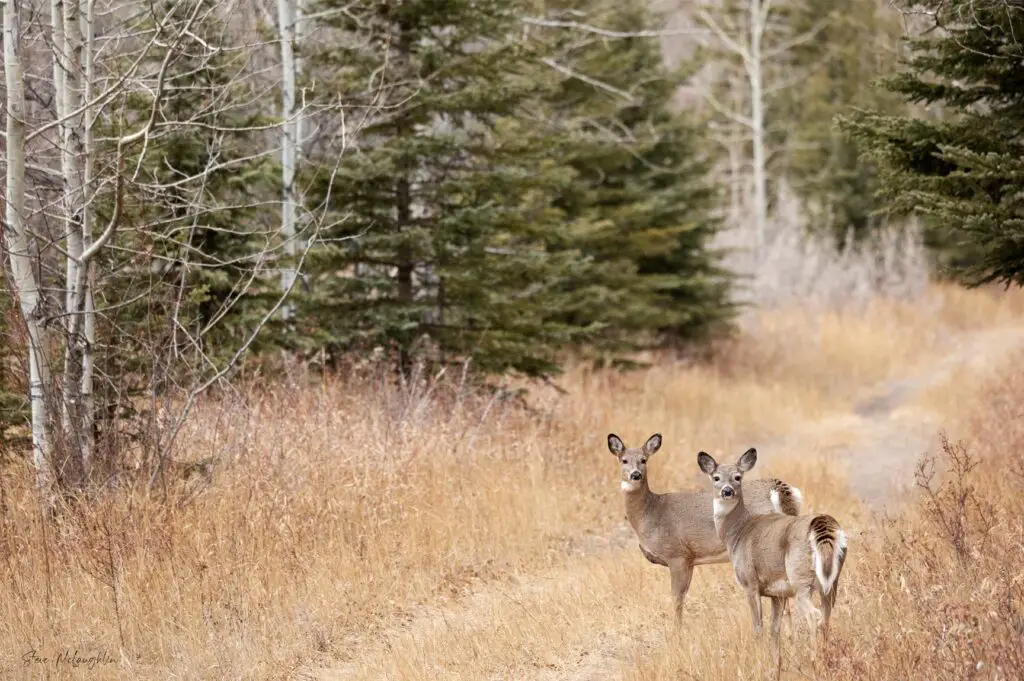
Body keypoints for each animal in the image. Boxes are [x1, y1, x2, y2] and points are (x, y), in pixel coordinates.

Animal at [602, 432, 802, 622]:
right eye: (624, 460)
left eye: (644, 459)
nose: (635, 474)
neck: (651, 513)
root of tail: (776, 488)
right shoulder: (689, 560)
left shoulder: (677, 555)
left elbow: (677, 599)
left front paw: (677, 632)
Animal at [696, 446, 847, 675]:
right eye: (716, 477)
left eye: (738, 477)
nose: (727, 491)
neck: (737, 533)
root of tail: (823, 525)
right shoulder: (778, 592)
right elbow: (775, 629)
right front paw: (776, 666)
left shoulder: (750, 582)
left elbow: (758, 627)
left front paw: (760, 663)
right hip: (831, 581)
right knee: (827, 616)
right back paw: (827, 657)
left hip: (800, 578)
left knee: (814, 615)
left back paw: (814, 661)